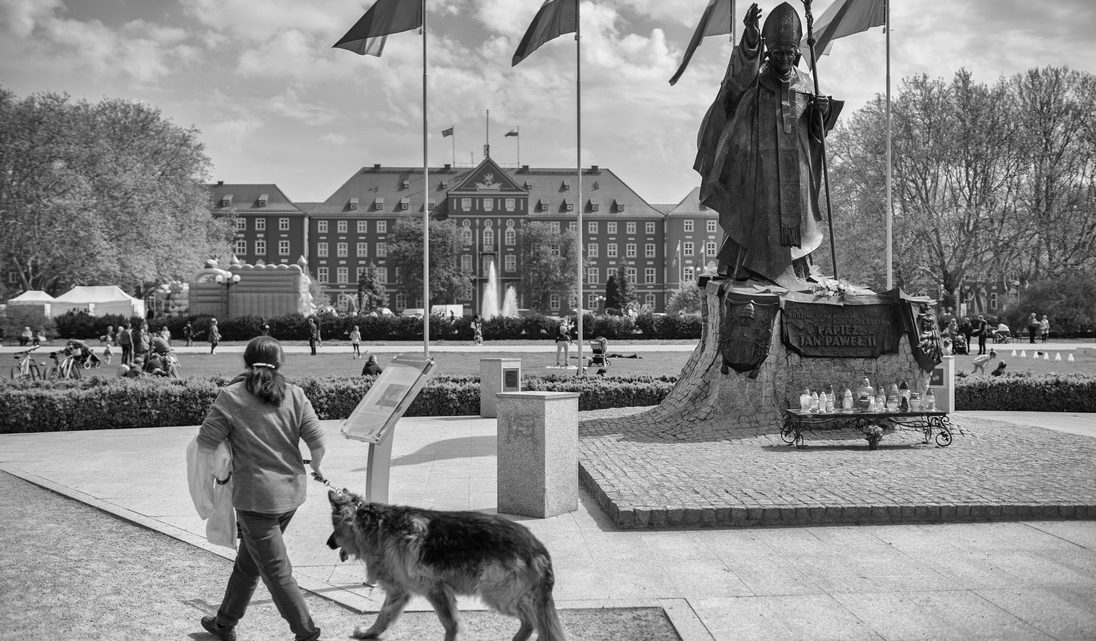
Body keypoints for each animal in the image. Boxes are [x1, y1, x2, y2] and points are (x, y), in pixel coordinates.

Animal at [324, 486, 565, 635]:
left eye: (334, 528)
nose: (328, 543)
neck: (377, 525)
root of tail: (537, 548)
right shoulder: (398, 592)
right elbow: (383, 616)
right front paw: (369, 634)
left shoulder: (434, 589)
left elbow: (451, 625)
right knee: (534, 623)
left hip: (495, 592)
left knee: (531, 621)